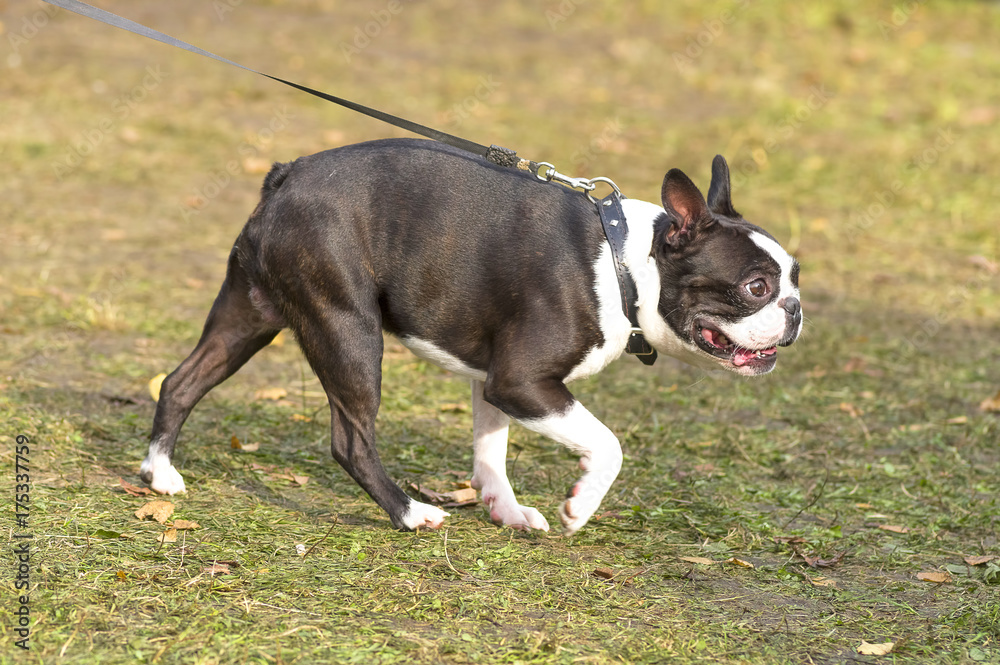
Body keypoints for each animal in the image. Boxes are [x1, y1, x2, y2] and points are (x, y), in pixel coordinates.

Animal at [141, 139, 800, 536]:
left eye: (796, 277)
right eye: (756, 286)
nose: (795, 311)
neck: (624, 263)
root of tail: (285, 177)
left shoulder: (494, 379)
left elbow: (491, 449)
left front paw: (504, 509)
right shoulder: (523, 380)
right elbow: (607, 444)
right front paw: (579, 505)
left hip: (250, 315)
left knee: (180, 381)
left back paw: (160, 472)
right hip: (347, 328)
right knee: (350, 440)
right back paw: (411, 513)